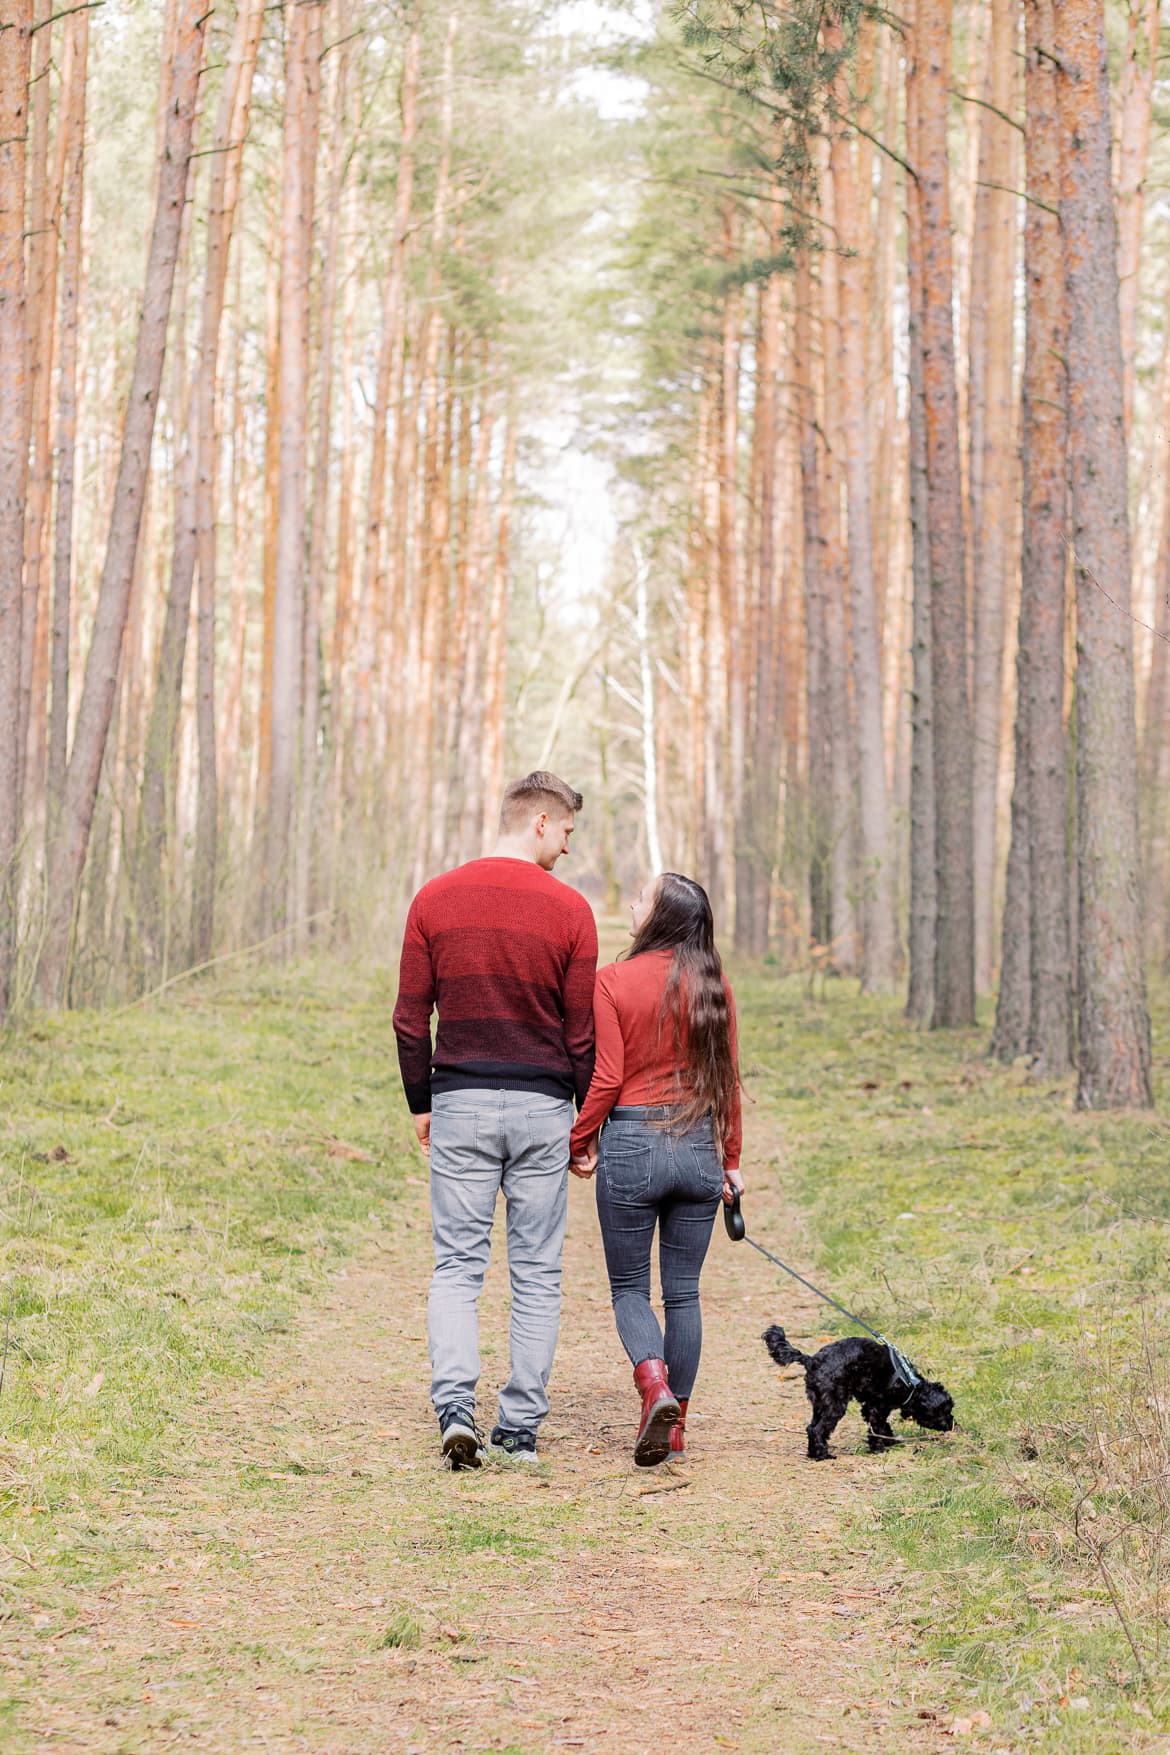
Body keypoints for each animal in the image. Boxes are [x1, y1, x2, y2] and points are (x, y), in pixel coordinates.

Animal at [764, 1319, 954, 1460]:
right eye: (944, 1411)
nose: (952, 1424)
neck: (910, 1383)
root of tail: (812, 1360)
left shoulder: (869, 1407)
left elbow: (882, 1426)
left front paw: (890, 1441)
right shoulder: (876, 1407)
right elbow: (877, 1428)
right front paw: (879, 1448)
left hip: (820, 1404)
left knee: (811, 1427)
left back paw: (813, 1453)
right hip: (835, 1405)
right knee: (817, 1429)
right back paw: (823, 1455)